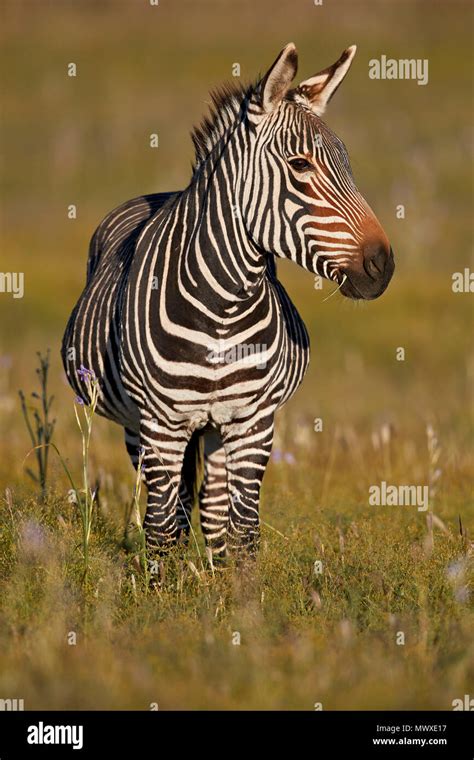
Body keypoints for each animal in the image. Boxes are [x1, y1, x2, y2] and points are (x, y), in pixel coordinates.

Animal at [62, 43, 396, 564]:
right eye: (300, 166)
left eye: (347, 165)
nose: (383, 265)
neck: (223, 308)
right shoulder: (162, 423)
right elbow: (161, 528)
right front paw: (164, 587)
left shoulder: (253, 422)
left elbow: (243, 531)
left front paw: (238, 588)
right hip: (139, 428)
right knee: (175, 508)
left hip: (216, 428)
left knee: (213, 510)